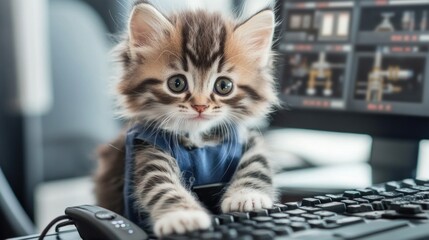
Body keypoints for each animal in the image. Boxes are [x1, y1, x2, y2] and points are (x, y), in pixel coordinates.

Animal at [93, 0, 278, 237]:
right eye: (177, 83)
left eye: (224, 86)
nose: (200, 106)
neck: (198, 139)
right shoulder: (148, 148)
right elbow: (159, 183)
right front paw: (182, 216)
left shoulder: (245, 137)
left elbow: (257, 163)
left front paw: (247, 196)